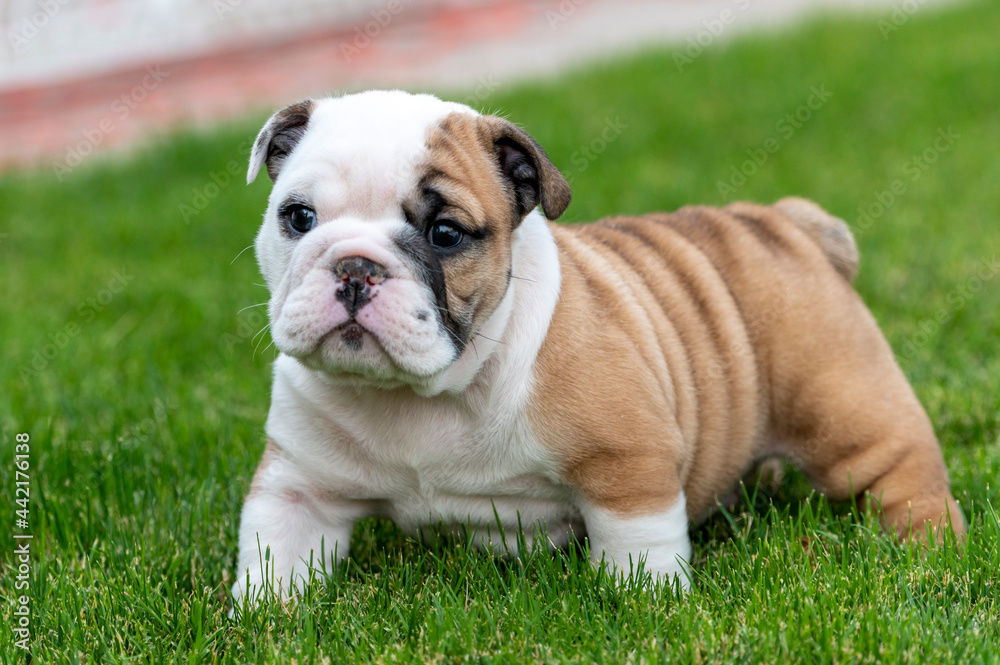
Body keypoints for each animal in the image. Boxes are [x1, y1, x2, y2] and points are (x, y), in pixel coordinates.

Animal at [230, 91, 964, 604]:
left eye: (445, 233)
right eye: (297, 217)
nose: (356, 268)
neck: (425, 394)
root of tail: (787, 222)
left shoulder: (626, 460)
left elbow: (638, 542)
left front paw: (646, 603)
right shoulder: (298, 485)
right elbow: (274, 554)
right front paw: (263, 619)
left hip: (845, 406)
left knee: (901, 474)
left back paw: (929, 554)